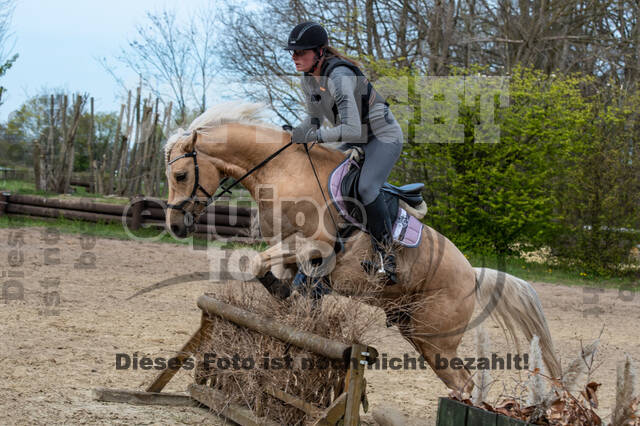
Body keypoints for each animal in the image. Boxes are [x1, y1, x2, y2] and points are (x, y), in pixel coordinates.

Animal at [164, 101, 560, 394]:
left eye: (181, 175)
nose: (174, 225)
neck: (281, 170)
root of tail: (472, 274)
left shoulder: (315, 245)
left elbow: (260, 265)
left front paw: (289, 295)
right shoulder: (286, 251)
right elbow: (270, 277)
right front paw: (286, 301)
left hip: (437, 341)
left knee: (464, 383)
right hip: (416, 332)